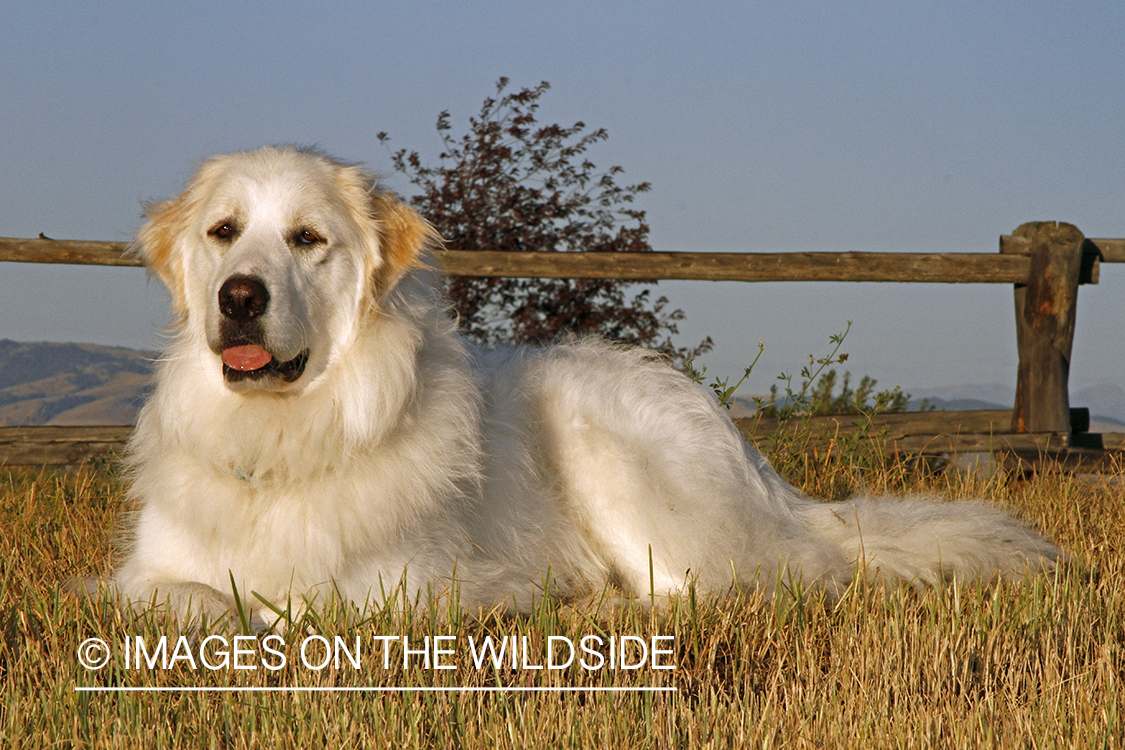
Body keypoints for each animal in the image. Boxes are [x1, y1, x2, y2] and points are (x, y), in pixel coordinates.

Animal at [109, 146, 1057, 629]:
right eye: (222, 232)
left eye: (307, 239)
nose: (239, 297)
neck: (285, 435)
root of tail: (756, 467)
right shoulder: (146, 577)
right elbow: (199, 603)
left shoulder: (418, 583)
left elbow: (320, 612)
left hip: (606, 449)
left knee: (732, 586)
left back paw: (590, 606)